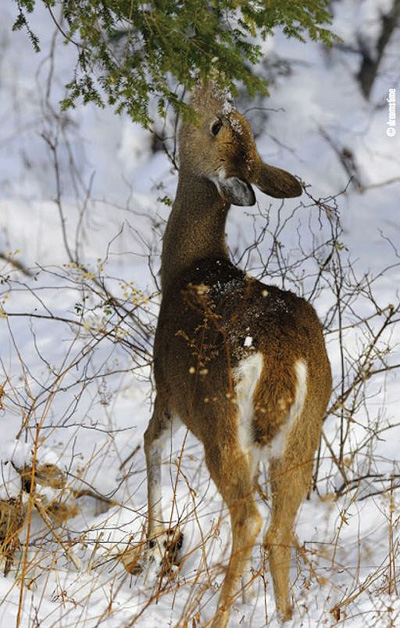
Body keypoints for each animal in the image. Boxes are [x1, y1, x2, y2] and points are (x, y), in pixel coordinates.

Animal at [123, 83, 332, 628]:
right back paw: (285, 614)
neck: (188, 266)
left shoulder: (168, 386)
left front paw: (150, 553)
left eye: (218, 123)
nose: (210, 84)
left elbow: (150, 443)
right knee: (280, 527)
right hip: (305, 432)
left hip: (221, 424)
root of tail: (280, 360)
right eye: (232, 121)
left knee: (251, 519)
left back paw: (217, 615)